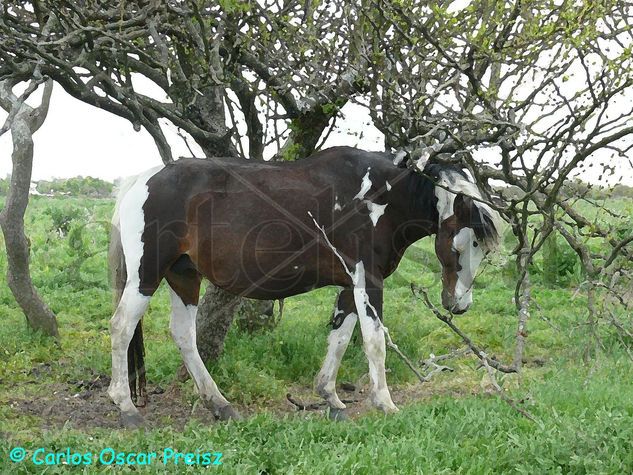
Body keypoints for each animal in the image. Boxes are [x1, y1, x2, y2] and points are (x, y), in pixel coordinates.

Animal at [108, 145, 504, 428]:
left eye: (481, 249)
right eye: (460, 245)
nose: (458, 304)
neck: (381, 196)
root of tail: (142, 180)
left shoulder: (349, 284)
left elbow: (340, 339)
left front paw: (331, 398)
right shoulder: (368, 281)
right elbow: (374, 342)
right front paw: (385, 403)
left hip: (184, 275)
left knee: (184, 335)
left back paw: (220, 405)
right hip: (146, 275)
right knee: (121, 328)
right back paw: (127, 409)